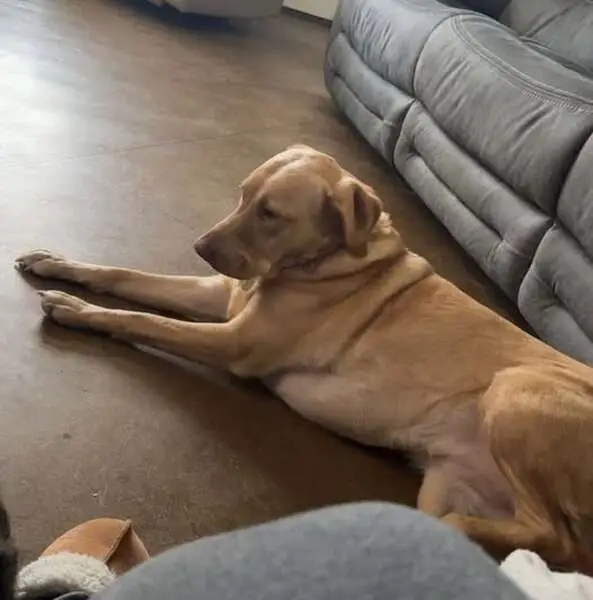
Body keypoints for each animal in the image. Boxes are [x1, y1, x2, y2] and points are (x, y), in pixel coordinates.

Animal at [15, 144, 593, 571]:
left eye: (271, 214)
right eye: (243, 195)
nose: (200, 246)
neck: (324, 261)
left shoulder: (234, 342)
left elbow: (142, 320)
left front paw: (79, 310)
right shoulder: (220, 295)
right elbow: (125, 275)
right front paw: (59, 265)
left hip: (515, 392)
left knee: (553, 538)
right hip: (446, 482)